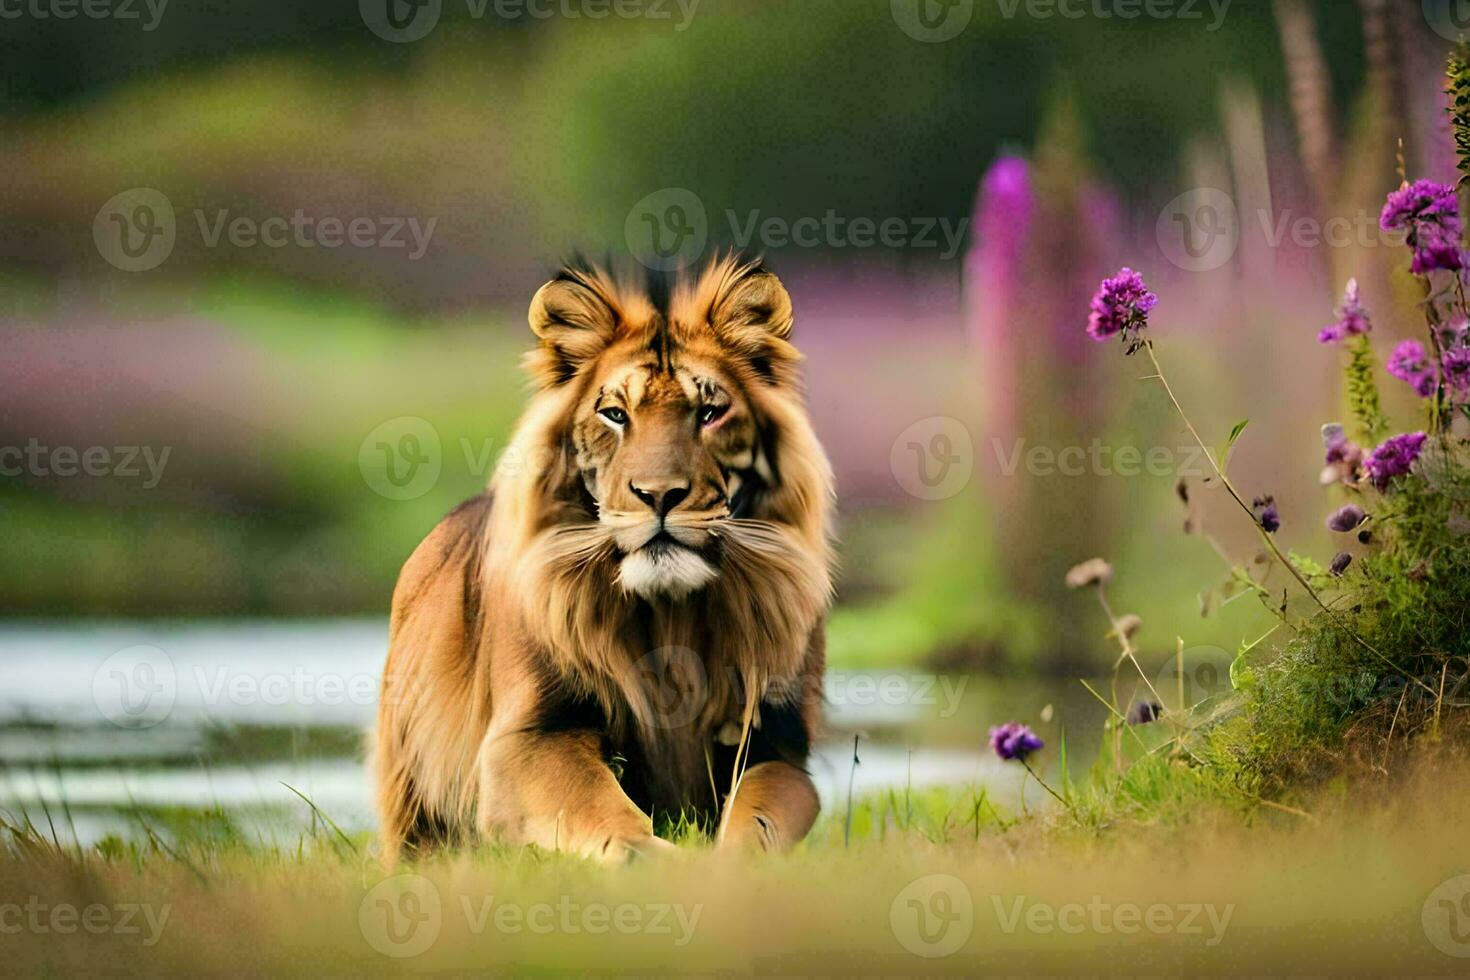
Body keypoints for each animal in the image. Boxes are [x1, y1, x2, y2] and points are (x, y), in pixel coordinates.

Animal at [373, 255, 834, 863]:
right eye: (615, 414)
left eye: (710, 412)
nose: (659, 494)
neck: (670, 612)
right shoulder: (531, 735)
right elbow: (596, 807)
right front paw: (658, 862)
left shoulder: (777, 746)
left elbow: (758, 819)